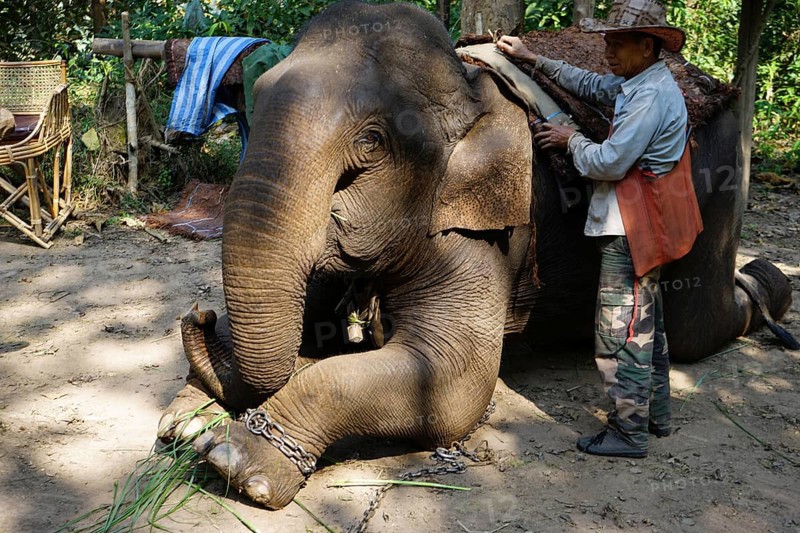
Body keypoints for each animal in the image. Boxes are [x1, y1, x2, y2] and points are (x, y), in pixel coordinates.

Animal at [156, 0, 793, 510]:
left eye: (370, 144)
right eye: (253, 99)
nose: (198, 315)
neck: (469, 90)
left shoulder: (485, 226)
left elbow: (452, 384)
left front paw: (236, 461)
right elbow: (313, 329)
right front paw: (183, 423)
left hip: (717, 179)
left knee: (693, 329)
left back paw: (769, 286)